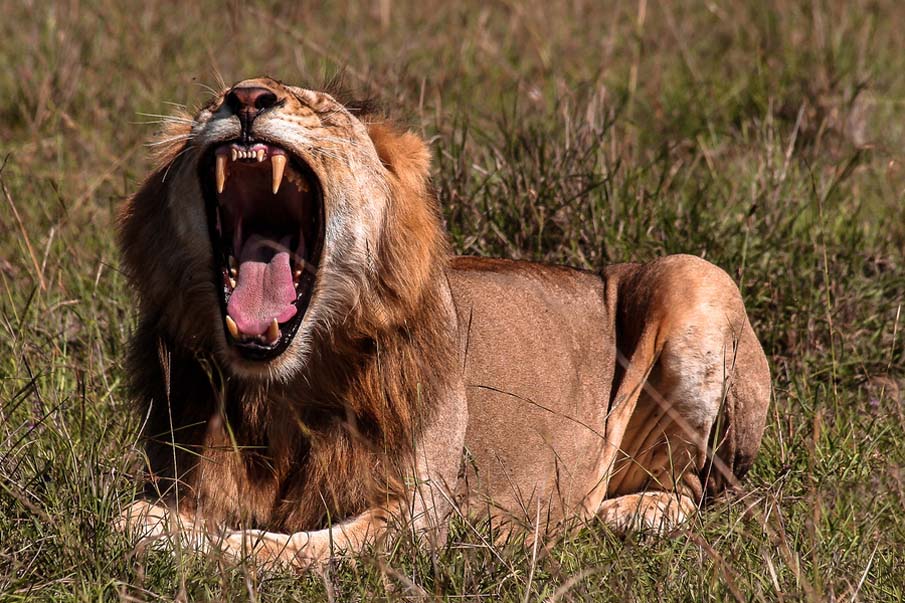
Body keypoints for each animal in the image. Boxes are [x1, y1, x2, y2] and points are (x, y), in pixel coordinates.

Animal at [118, 78, 768, 568]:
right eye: (212, 104)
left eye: (323, 111)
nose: (247, 97)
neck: (283, 388)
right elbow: (143, 516)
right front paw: (158, 523)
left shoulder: (419, 517)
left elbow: (286, 550)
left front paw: (192, 541)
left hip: (695, 276)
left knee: (694, 487)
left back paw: (626, 514)